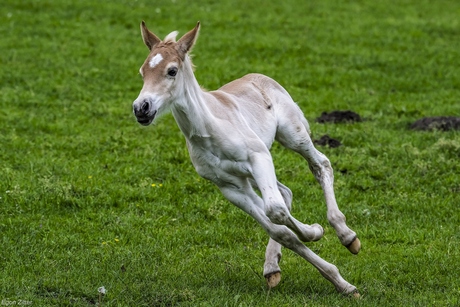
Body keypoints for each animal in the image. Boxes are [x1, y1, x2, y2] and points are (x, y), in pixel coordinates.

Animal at [131, 21, 362, 296]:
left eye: (172, 71)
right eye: (143, 72)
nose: (141, 108)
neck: (208, 130)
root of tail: (261, 77)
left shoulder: (258, 157)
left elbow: (275, 211)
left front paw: (319, 235)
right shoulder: (229, 186)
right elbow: (279, 227)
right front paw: (332, 270)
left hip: (292, 136)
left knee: (320, 165)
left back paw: (347, 235)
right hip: (249, 175)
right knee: (285, 192)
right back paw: (272, 266)